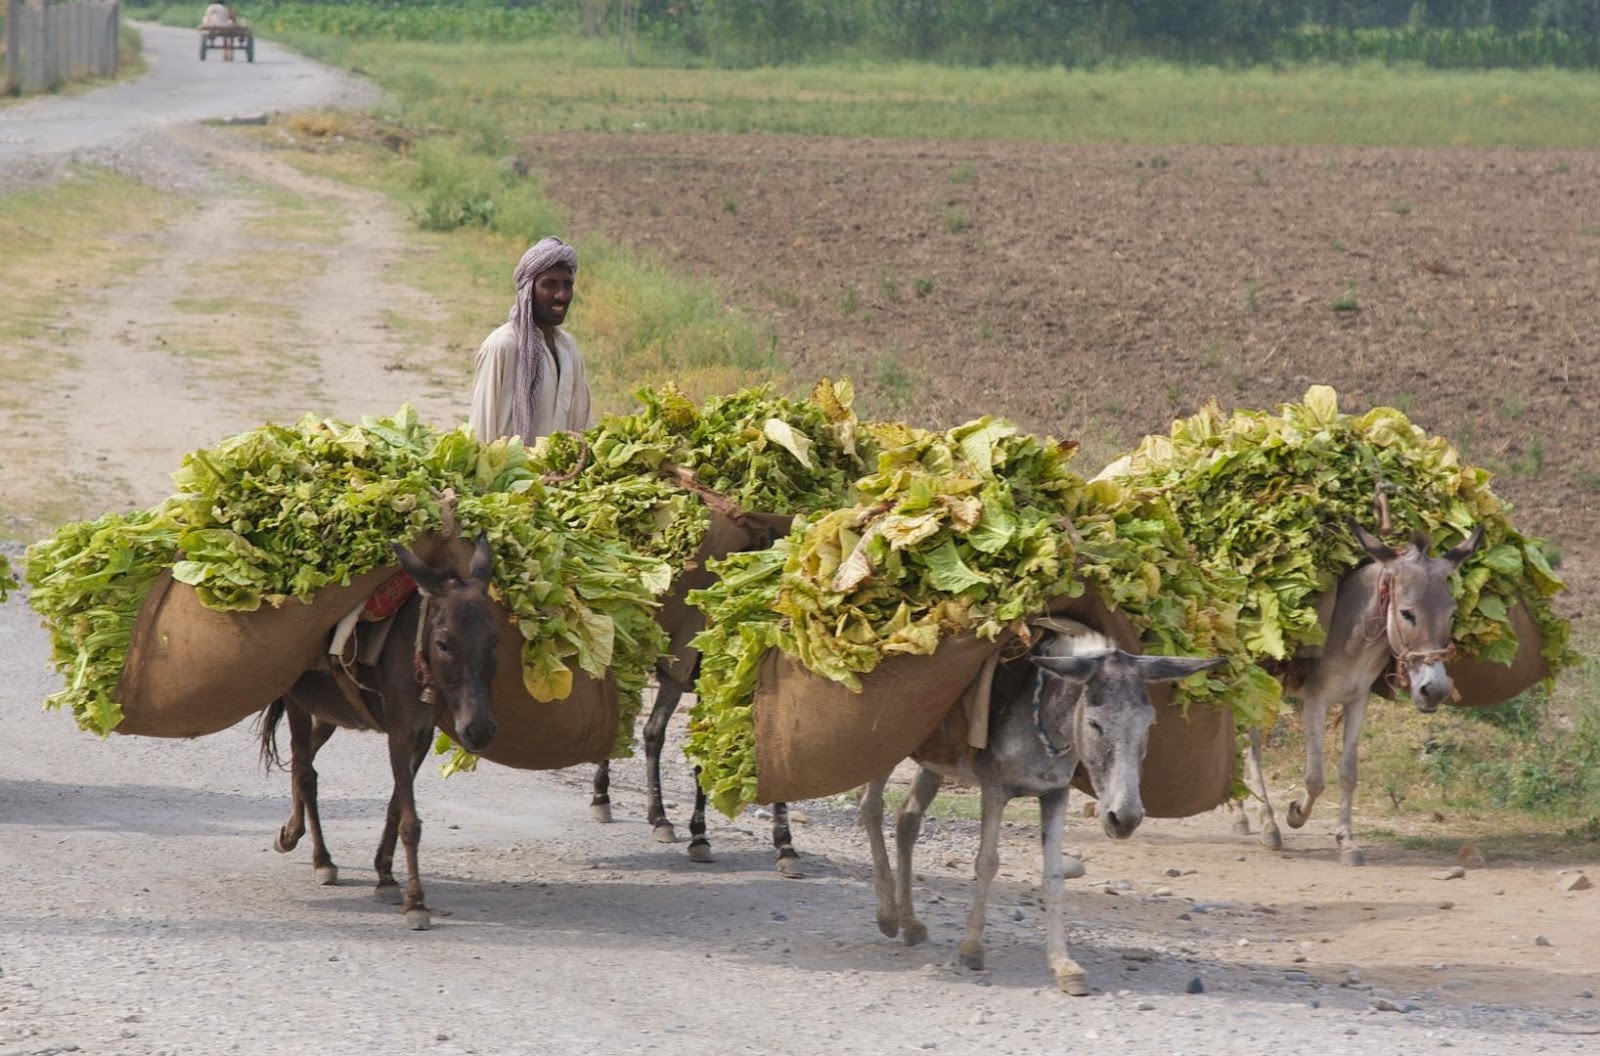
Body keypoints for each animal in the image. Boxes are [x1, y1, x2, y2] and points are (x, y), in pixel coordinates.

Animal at [258, 533, 501, 929]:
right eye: (443, 643)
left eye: (496, 640)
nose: (478, 731)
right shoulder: (399, 733)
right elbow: (410, 821)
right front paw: (416, 903)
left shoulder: (421, 736)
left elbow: (395, 806)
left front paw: (385, 878)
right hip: (298, 701)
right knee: (304, 770)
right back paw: (316, 856)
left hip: (330, 714)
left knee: (303, 763)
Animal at [861, 623, 1223, 995]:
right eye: (1094, 724)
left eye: (1149, 724)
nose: (1124, 819)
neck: (1045, 720)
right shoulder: (995, 789)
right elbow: (986, 863)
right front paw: (971, 948)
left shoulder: (1055, 794)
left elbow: (1053, 877)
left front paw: (1064, 965)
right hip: (885, 748)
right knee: (871, 808)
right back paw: (887, 914)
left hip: (934, 762)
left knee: (907, 820)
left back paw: (910, 922)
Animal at [1232, 520, 1483, 866]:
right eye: (1407, 614)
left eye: (1451, 613)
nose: (1435, 690)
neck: (1352, 629)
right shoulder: (1316, 699)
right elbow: (1315, 778)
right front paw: (1295, 814)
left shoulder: (1358, 698)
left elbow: (1349, 773)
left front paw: (1347, 842)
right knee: (1249, 745)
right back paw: (1265, 824)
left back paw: (1244, 817)